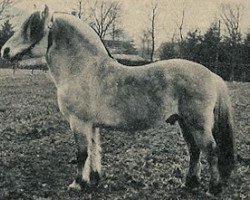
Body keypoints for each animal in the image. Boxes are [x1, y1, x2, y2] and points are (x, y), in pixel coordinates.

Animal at [1, 5, 234, 195]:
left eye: (32, 28)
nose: (5, 51)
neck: (83, 69)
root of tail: (211, 75)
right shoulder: (91, 125)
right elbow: (94, 150)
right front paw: (93, 180)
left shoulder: (79, 122)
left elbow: (82, 153)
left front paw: (77, 184)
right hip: (185, 123)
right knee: (194, 150)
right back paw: (190, 183)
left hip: (198, 124)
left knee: (211, 151)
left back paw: (213, 188)